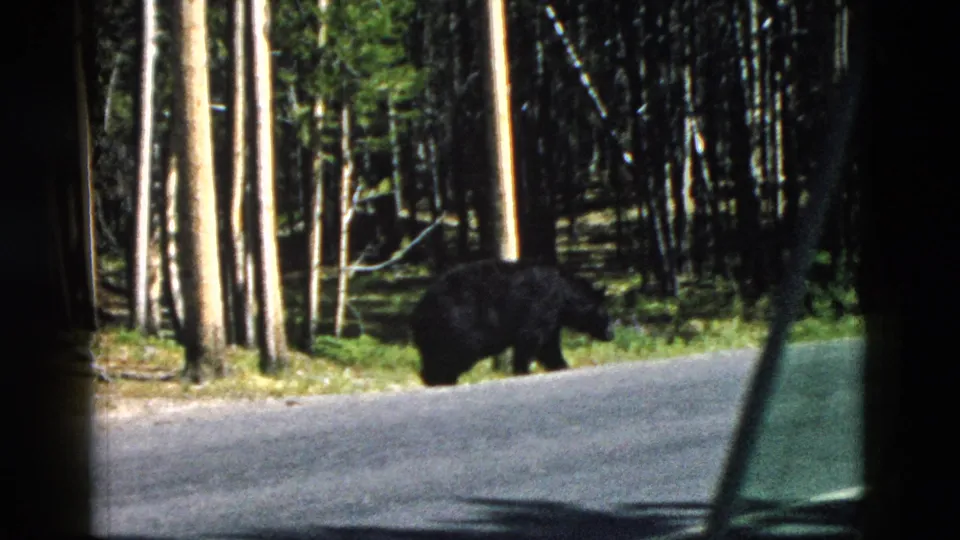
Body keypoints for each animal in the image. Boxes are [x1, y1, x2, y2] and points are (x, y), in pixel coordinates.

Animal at [409, 258, 615, 386]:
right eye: (605, 313)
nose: (611, 334)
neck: (564, 296)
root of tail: (418, 312)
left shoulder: (553, 318)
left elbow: (549, 346)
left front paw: (561, 365)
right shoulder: (541, 306)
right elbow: (530, 339)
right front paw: (523, 370)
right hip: (458, 326)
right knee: (453, 355)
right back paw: (440, 379)